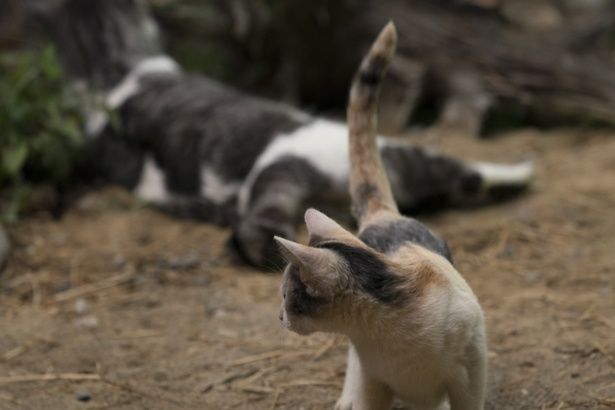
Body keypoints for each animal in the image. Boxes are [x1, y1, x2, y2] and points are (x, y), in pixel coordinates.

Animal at [278, 24, 486, 408]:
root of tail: (383, 215)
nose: (279, 316)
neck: (388, 331)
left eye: (288, 296)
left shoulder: (470, 372)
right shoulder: (372, 378)